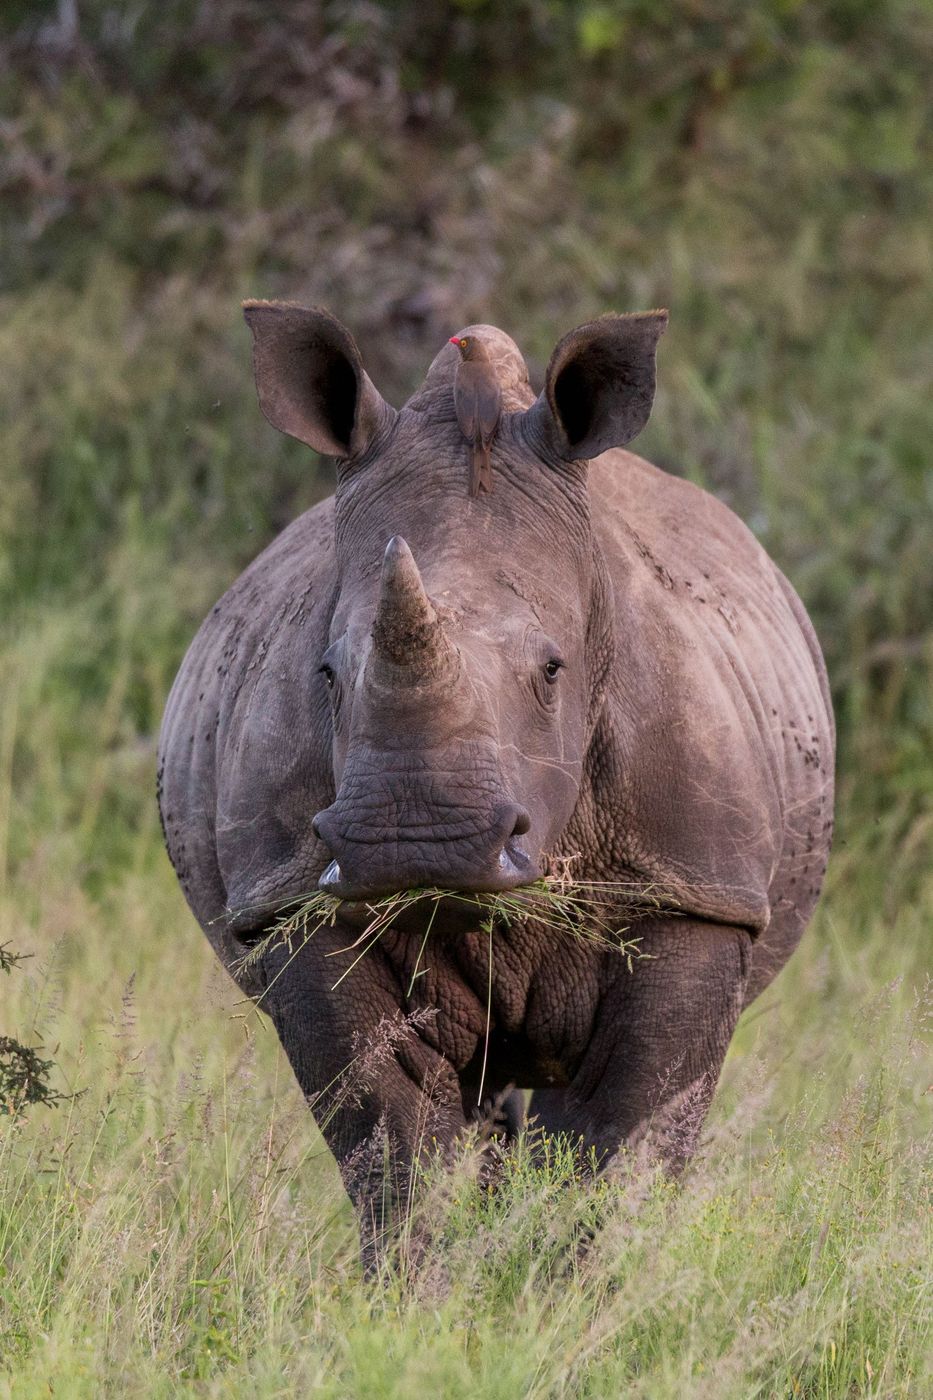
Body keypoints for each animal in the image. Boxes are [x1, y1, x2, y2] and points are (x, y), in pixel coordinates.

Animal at [158, 302, 834, 1255]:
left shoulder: (695, 890)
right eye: (325, 673)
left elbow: (619, 1145)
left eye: (553, 670)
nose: (417, 839)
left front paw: (584, 1287)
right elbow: (395, 1148)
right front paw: (425, 1290)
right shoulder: (290, 904)